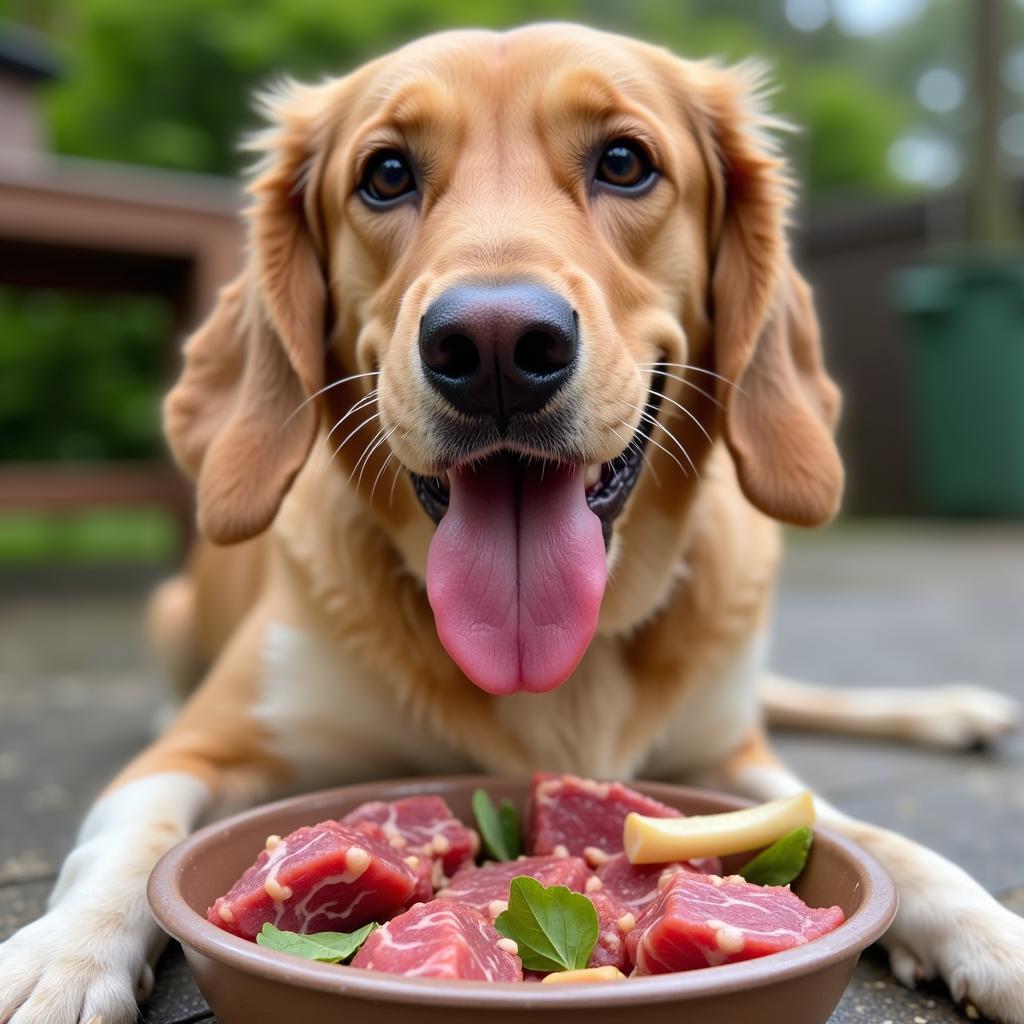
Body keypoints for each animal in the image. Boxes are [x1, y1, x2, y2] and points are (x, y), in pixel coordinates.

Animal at [2, 22, 1024, 1024]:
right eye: (385, 174)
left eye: (625, 161)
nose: (494, 346)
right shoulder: (197, 749)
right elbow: (127, 843)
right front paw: (62, 951)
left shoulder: (737, 764)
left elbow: (876, 835)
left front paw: (988, 928)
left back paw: (954, 710)